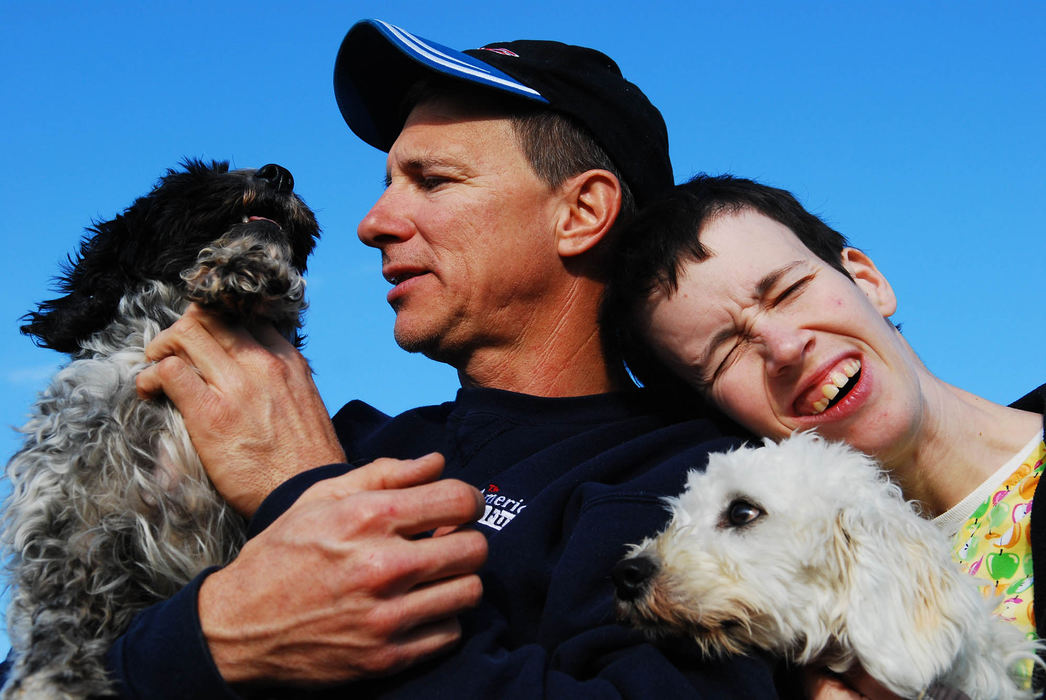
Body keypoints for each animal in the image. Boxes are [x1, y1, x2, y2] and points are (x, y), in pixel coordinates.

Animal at [2, 160, 317, 698]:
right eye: (197, 177)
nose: (280, 173)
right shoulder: (68, 538)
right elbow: (54, 633)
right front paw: (51, 681)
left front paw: (245, 269)